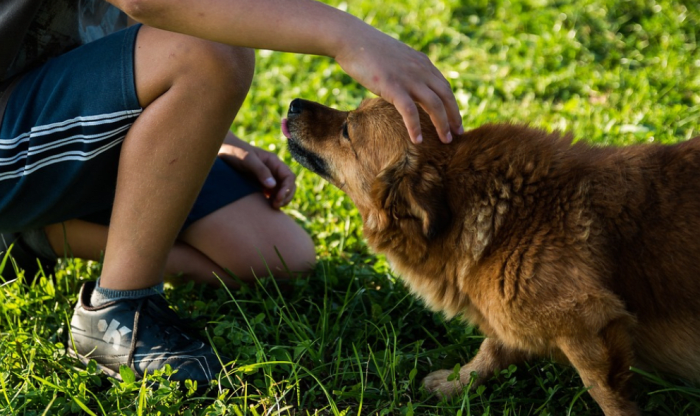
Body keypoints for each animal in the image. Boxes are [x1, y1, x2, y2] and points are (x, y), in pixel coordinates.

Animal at [282, 98, 700, 416]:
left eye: (347, 129)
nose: (294, 103)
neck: (507, 214)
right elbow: (492, 349)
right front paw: (458, 383)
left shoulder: (587, 321)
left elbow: (605, 393)